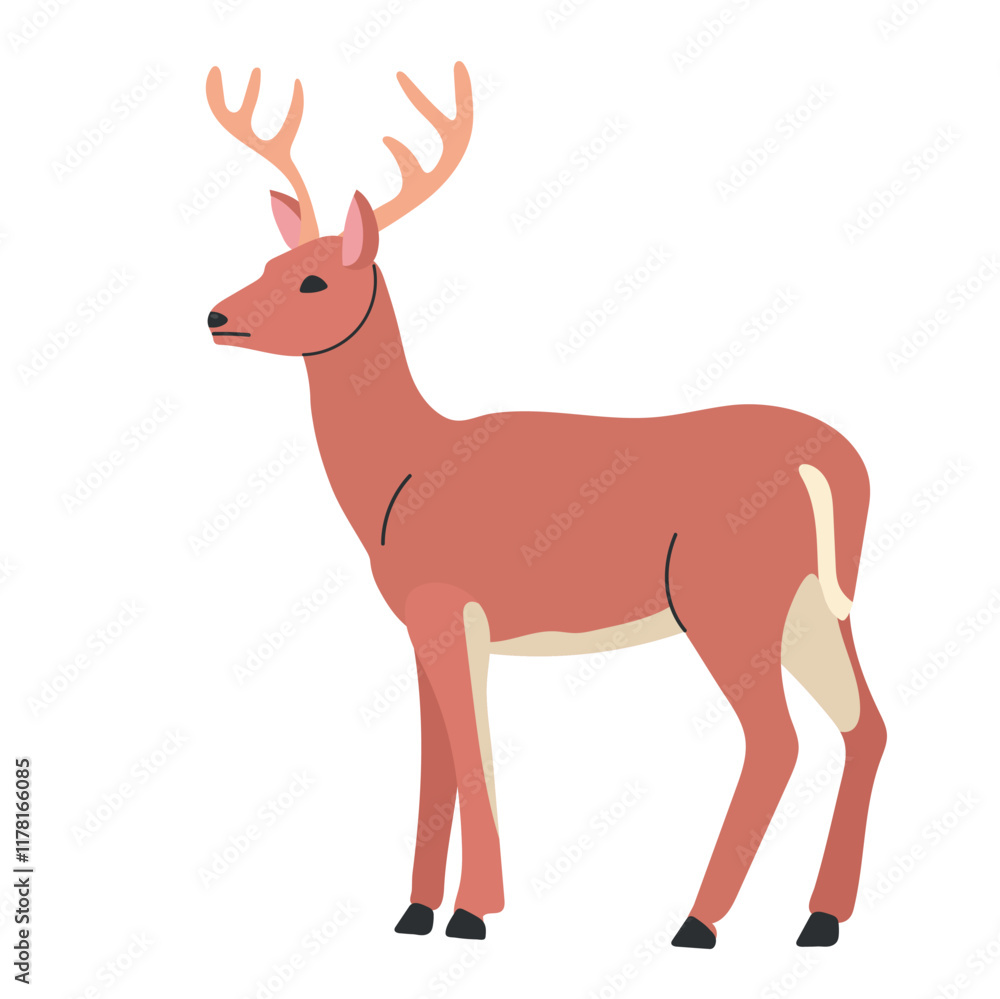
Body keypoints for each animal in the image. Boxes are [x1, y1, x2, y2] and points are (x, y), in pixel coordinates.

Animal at [204, 61, 886, 947]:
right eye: (267, 259)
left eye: (314, 278)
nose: (216, 315)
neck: (404, 476)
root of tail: (832, 461)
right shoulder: (423, 622)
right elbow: (434, 761)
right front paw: (415, 910)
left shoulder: (450, 601)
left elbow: (471, 753)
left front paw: (471, 912)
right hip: (813, 602)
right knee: (863, 726)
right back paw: (820, 918)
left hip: (726, 598)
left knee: (777, 739)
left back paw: (697, 921)